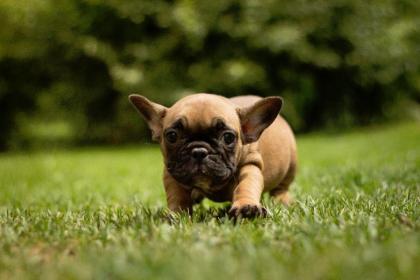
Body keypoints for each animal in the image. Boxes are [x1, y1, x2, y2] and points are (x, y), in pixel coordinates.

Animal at [130, 93, 296, 218]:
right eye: (172, 136)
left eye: (228, 137)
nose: (199, 151)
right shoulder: (172, 172)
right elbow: (176, 194)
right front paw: (177, 214)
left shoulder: (250, 165)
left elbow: (246, 185)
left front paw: (246, 207)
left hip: (291, 166)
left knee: (281, 188)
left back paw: (282, 199)